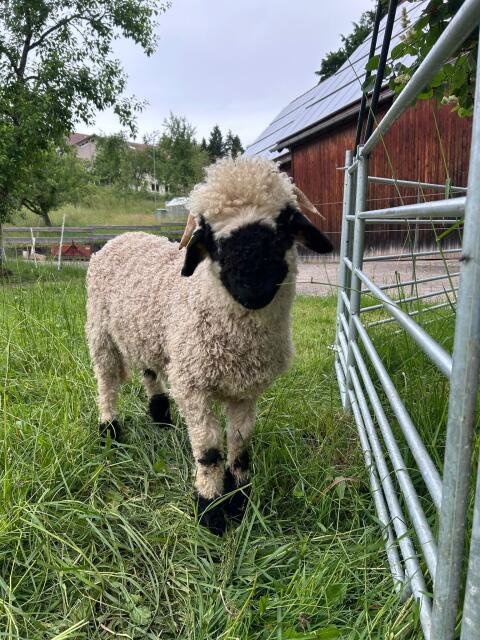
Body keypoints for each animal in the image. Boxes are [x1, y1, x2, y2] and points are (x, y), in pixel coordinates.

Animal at [85, 157, 333, 534]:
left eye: (285, 224)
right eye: (212, 238)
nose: (253, 288)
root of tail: (122, 236)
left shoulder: (246, 390)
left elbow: (240, 444)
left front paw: (240, 499)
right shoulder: (194, 387)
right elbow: (210, 450)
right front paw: (210, 510)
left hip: (149, 333)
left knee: (149, 370)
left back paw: (160, 415)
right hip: (100, 332)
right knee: (107, 381)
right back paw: (109, 428)